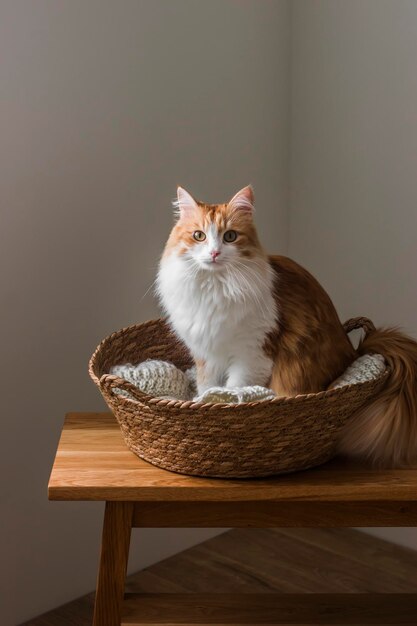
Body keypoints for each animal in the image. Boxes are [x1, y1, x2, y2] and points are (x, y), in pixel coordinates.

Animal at [156, 183, 416, 466]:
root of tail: (354, 352)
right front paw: (203, 401)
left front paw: (222, 403)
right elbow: (207, 385)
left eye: (230, 237)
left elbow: (234, 388)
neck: (215, 288)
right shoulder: (206, 353)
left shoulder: (252, 353)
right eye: (199, 236)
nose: (214, 253)